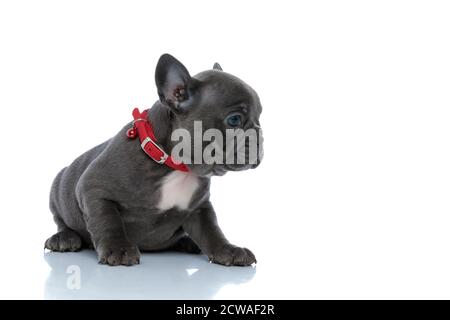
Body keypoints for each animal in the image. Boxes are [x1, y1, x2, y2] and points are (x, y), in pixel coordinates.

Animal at [44, 53, 262, 266]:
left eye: (260, 116)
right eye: (234, 120)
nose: (259, 135)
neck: (174, 165)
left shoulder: (198, 208)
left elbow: (211, 230)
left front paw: (228, 250)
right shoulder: (93, 189)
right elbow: (107, 219)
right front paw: (118, 248)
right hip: (58, 188)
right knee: (62, 222)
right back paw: (64, 238)